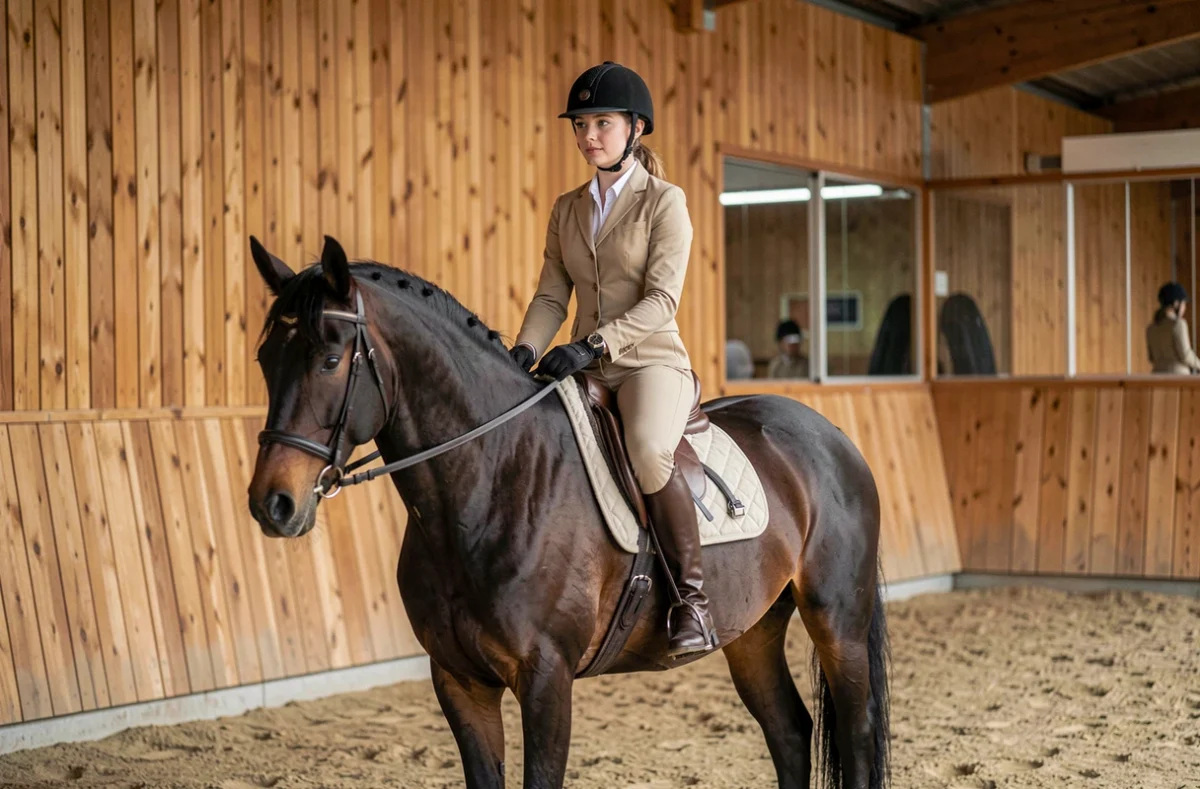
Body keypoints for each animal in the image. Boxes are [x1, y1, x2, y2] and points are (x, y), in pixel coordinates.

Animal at [246, 235, 891, 789]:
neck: (489, 484)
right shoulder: (458, 680)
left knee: (856, 735)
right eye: (264, 359)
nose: (272, 504)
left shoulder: (546, 679)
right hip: (752, 630)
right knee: (790, 732)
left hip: (837, 620)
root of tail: (833, 436)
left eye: (330, 360)